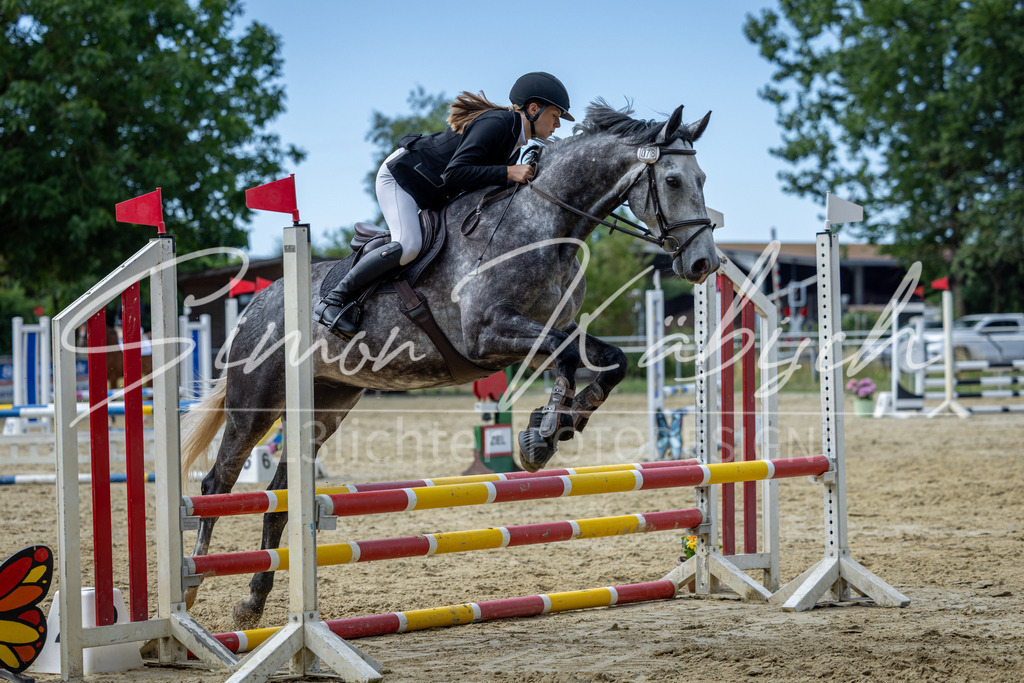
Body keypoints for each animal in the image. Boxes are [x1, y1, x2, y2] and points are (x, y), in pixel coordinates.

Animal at [181, 99, 721, 628]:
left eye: (703, 179)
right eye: (673, 180)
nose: (704, 264)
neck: (545, 226)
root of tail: (259, 301)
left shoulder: (550, 329)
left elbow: (602, 360)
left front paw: (553, 429)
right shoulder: (488, 335)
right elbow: (572, 360)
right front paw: (546, 432)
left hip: (327, 404)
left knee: (280, 499)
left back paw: (253, 602)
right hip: (256, 401)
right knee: (218, 483)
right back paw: (191, 590)